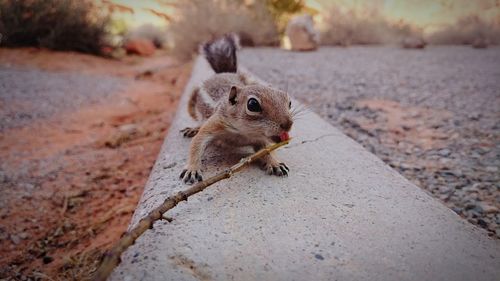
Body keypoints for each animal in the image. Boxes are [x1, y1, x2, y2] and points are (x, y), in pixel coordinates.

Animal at [179, 34, 292, 184]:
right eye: (252, 105)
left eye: (289, 102)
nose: (288, 124)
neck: (244, 133)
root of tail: (223, 72)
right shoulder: (216, 123)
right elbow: (197, 144)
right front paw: (192, 169)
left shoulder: (260, 140)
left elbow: (267, 150)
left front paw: (275, 163)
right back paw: (193, 128)